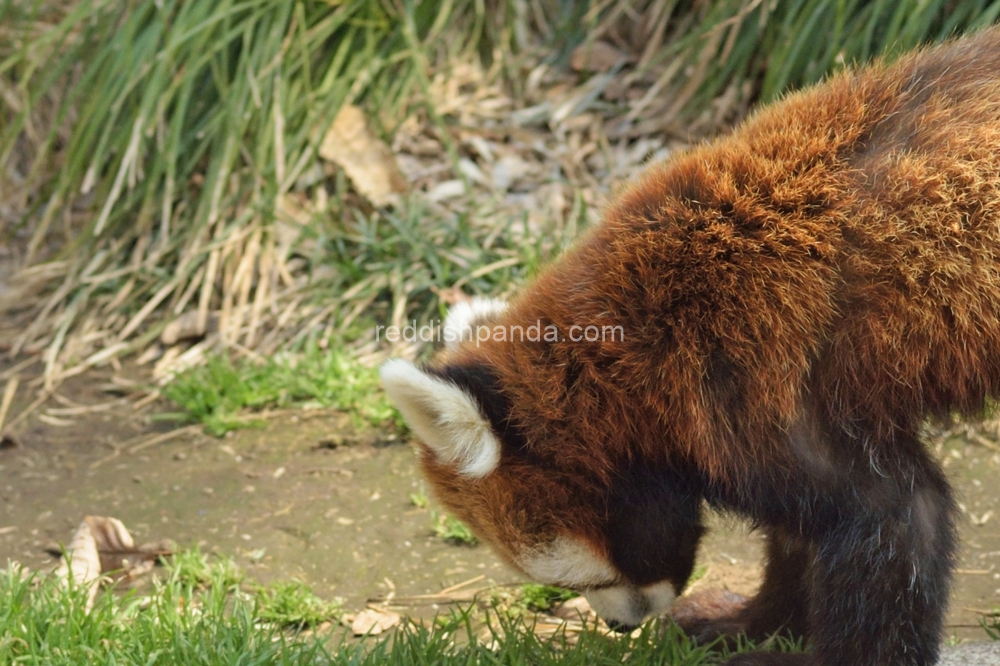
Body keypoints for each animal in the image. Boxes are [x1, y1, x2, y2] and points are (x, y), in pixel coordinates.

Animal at [380, 27, 1000, 664]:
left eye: (580, 578)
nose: (620, 626)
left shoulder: (757, 371)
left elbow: (896, 515)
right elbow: (803, 531)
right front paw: (750, 623)